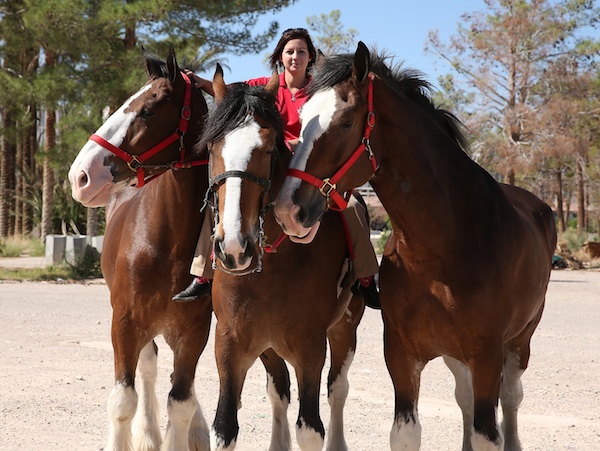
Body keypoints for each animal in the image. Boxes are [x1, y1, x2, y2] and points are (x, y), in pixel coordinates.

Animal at [203, 66, 366, 451]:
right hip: (270, 348)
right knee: (279, 391)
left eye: (265, 149)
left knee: (338, 390)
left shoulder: (311, 349)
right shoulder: (229, 345)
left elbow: (311, 427)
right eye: (214, 148)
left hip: (344, 329)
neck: (273, 267)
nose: (235, 248)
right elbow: (225, 427)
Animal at [276, 42, 556, 451]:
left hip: (521, 341)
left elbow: (488, 433)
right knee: (465, 396)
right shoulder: (401, 354)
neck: (443, 247)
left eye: (345, 122)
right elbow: (406, 433)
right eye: (300, 121)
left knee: (511, 398)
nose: (288, 209)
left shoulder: (487, 355)